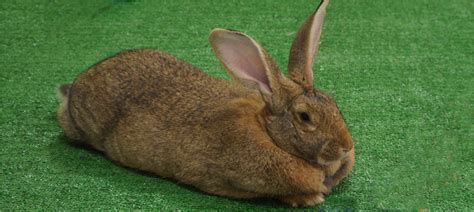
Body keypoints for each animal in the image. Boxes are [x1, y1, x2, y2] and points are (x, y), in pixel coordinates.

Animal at [56, 0, 352, 206]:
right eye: (305, 117)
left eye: (333, 103)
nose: (346, 147)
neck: (268, 133)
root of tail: (76, 85)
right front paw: (310, 198)